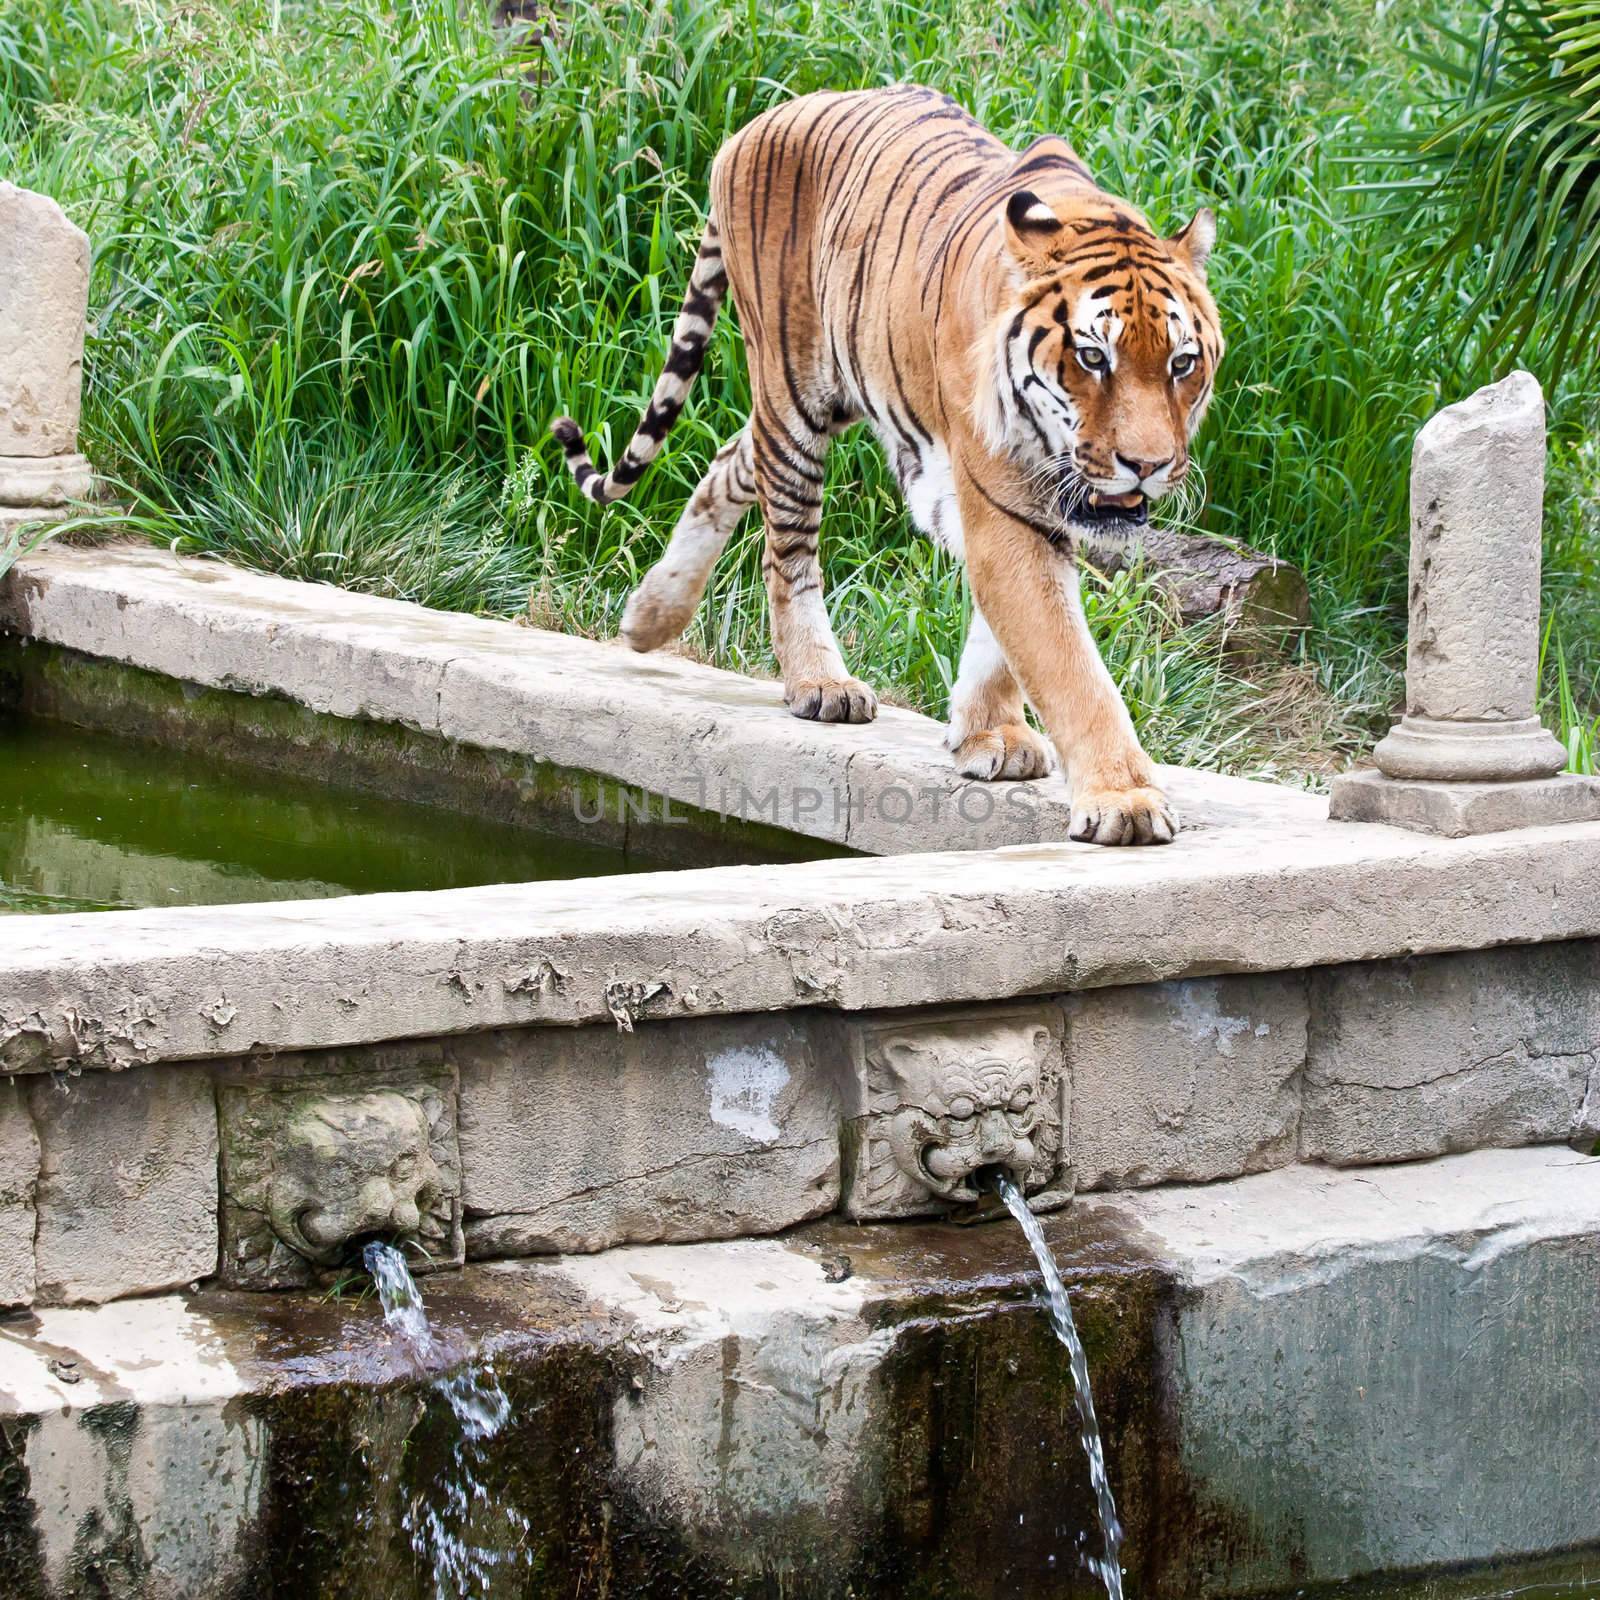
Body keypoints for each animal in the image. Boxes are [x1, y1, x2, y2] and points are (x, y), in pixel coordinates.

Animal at [553, 84, 1222, 851]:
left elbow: (1005, 640)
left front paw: (990, 735)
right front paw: (1126, 800)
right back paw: (819, 683)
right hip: (795, 392)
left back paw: (649, 617)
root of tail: (760, 121)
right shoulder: (1003, 504)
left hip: (826, 396)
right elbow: (1068, 663)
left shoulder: (1032, 508)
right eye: (1092, 356)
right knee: (786, 552)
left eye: (1181, 363)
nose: (1148, 465)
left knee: (730, 458)